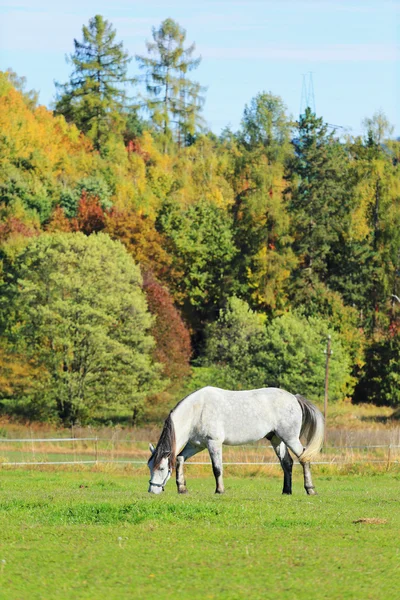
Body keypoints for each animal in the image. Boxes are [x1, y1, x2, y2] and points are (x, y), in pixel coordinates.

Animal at [148, 386, 324, 494]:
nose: (152, 491)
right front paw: (182, 488)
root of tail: (294, 398)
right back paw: (286, 491)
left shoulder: (213, 443)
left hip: (290, 438)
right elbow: (179, 459)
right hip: (277, 440)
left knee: (304, 459)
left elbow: (217, 468)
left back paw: (310, 489)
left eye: (161, 468)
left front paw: (219, 490)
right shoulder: (196, 445)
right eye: (150, 467)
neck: (197, 410)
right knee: (287, 463)